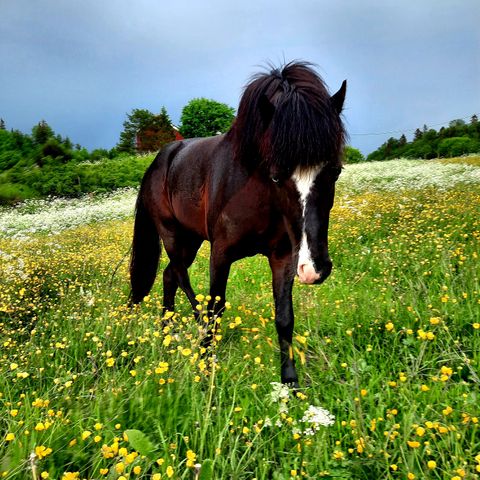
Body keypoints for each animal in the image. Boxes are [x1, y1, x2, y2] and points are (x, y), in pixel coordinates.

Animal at [129, 62, 346, 386]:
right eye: (276, 176)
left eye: (335, 170)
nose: (314, 269)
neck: (257, 191)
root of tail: (158, 160)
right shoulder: (220, 254)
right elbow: (215, 307)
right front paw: (206, 369)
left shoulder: (283, 257)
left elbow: (284, 317)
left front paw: (290, 383)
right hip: (171, 234)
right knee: (181, 277)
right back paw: (189, 328)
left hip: (191, 239)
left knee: (169, 276)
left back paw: (168, 332)